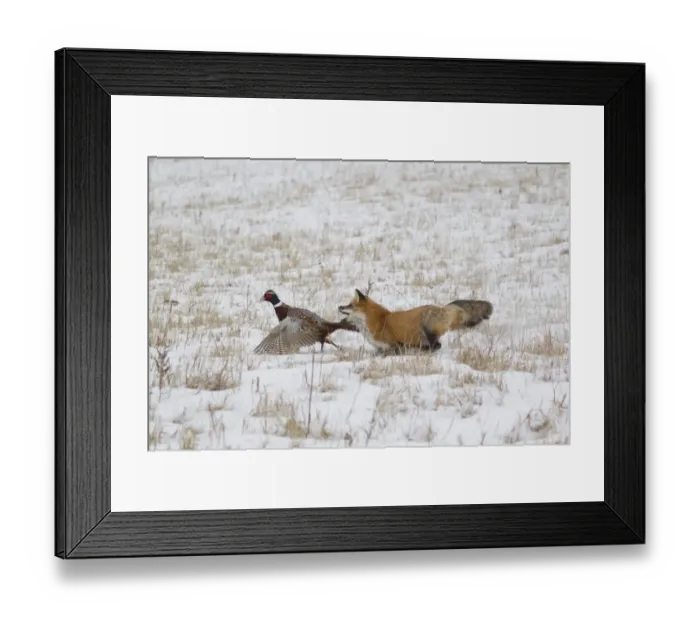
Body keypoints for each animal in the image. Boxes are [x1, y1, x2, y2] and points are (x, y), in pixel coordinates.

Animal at [338, 288, 493, 353]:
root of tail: (443, 307)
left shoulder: (392, 345)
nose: (339, 306)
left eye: (350, 305)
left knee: (436, 346)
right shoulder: (380, 348)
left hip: (426, 327)